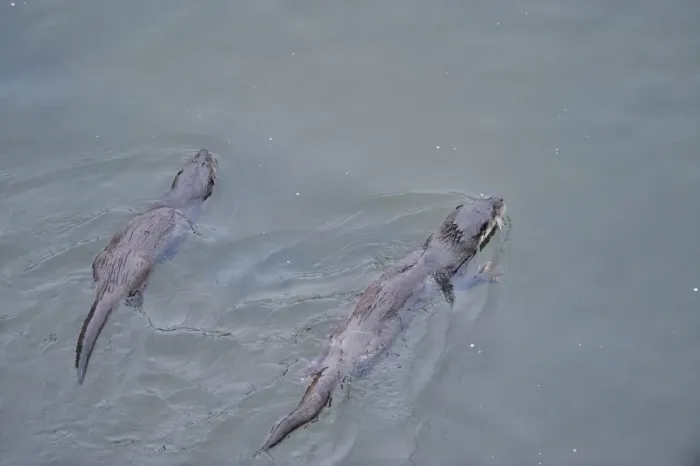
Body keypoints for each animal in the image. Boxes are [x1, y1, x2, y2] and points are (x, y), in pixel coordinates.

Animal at [75, 149, 218, 384]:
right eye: (208, 163)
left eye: (197, 159)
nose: (205, 150)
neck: (176, 203)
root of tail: (114, 279)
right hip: (141, 271)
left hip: (100, 258)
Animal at [260, 195, 507, 451]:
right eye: (492, 211)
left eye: (483, 200)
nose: (500, 198)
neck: (440, 249)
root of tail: (341, 359)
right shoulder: (452, 273)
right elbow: (467, 283)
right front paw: (490, 272)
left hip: (333, 338)